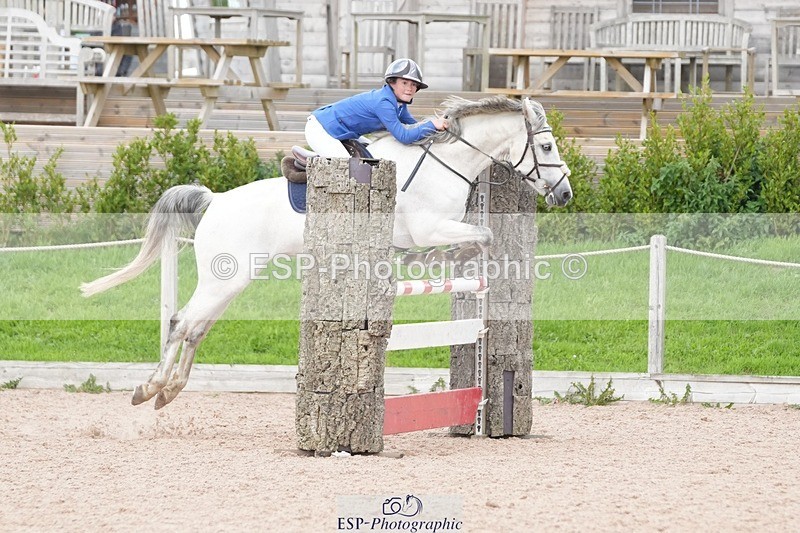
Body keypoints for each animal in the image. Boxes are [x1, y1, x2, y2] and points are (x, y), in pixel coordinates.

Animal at [81, 95, 573, 409]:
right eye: (546, 145)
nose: (565, 194)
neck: (444, 163)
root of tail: (215, 200)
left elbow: (482, 236)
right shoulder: (428, 226)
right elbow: (482, 235)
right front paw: (435, 261)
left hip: (232, 280)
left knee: (196, 327)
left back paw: (169, 391)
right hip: (224, 277)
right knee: (182, 323)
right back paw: (149, 389)